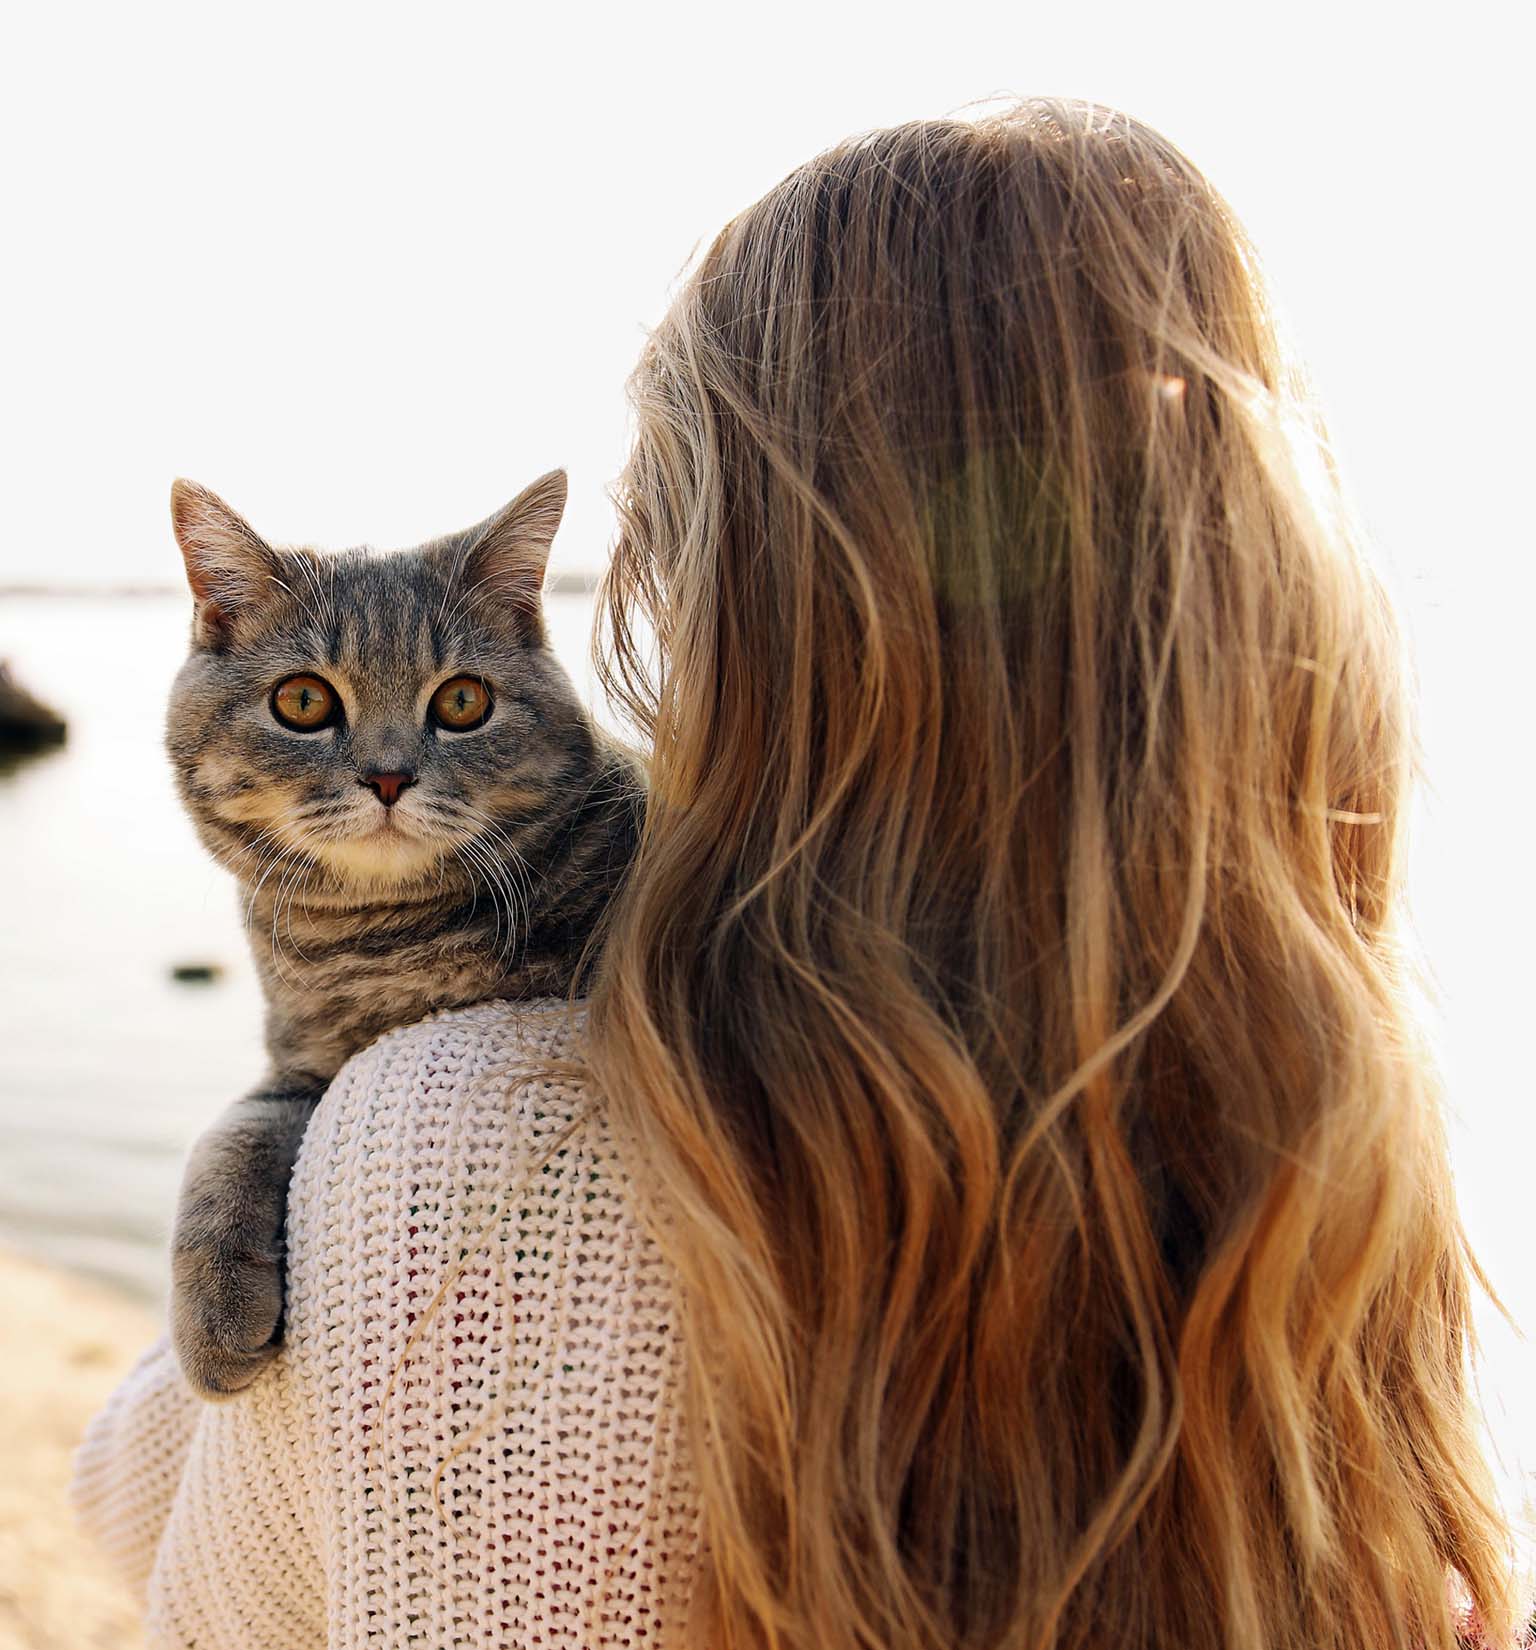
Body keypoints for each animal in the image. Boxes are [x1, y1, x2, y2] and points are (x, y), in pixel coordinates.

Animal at [164, 471, 646, 1399]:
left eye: (462, 701)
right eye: (303, 701)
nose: (388, 777)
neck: (385, 943)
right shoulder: (300, 1066)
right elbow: (227, 1138)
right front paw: (212, 1314)